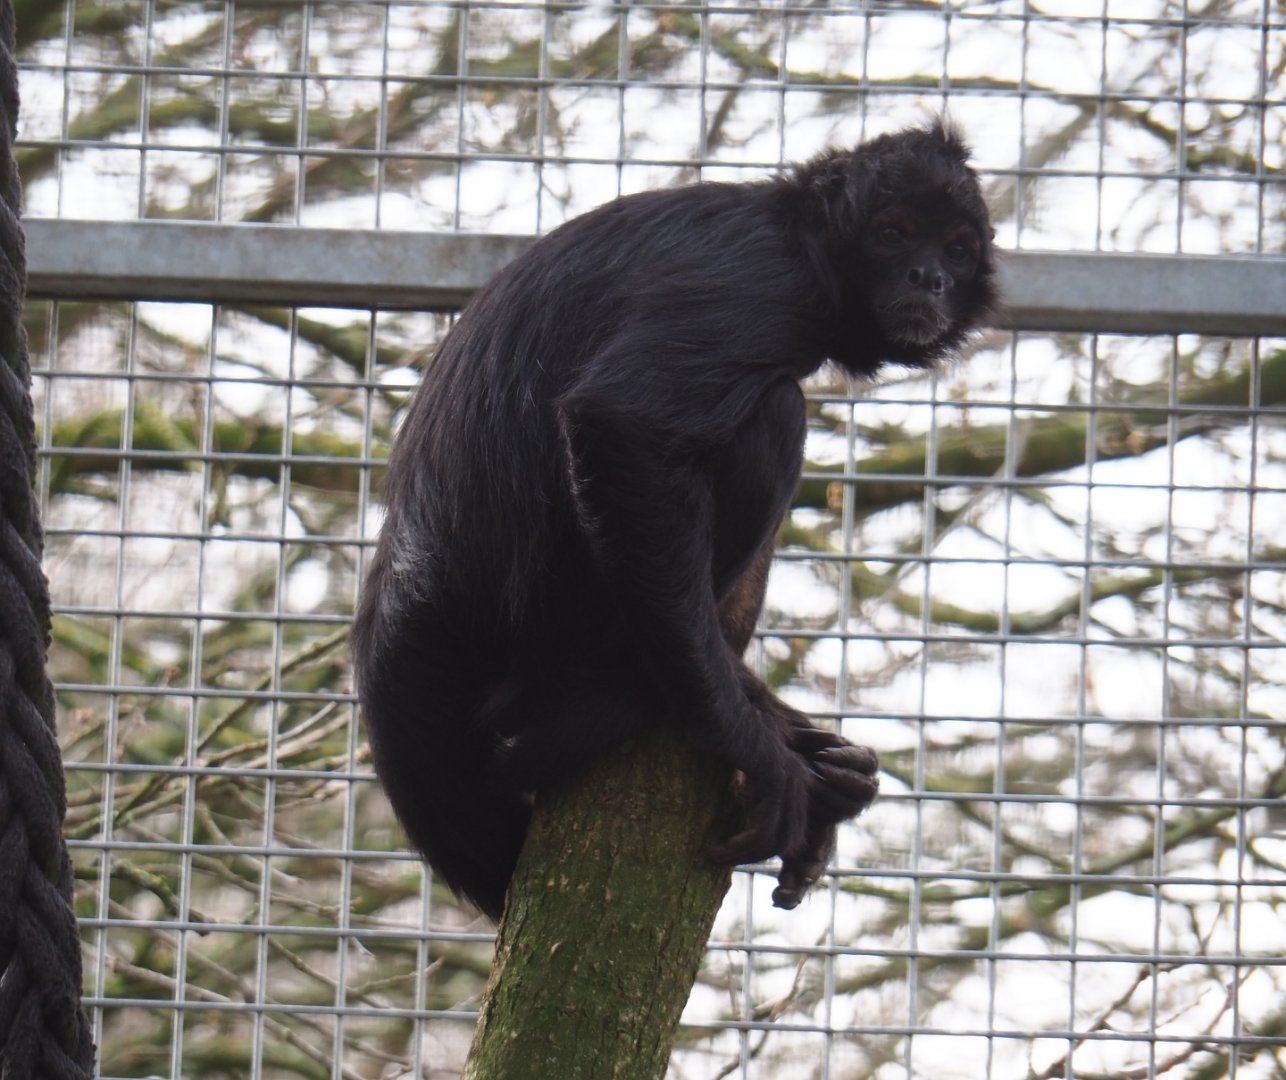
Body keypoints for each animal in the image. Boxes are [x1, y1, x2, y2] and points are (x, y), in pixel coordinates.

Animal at [352, 121, 997, 921]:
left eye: (957, 251)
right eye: (892, 234)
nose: (927, 279)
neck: (794, 233)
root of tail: (400, 599)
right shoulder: (756, 277)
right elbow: (622, 421)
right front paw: (754, 745)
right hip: (551, 614)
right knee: (775, 413)